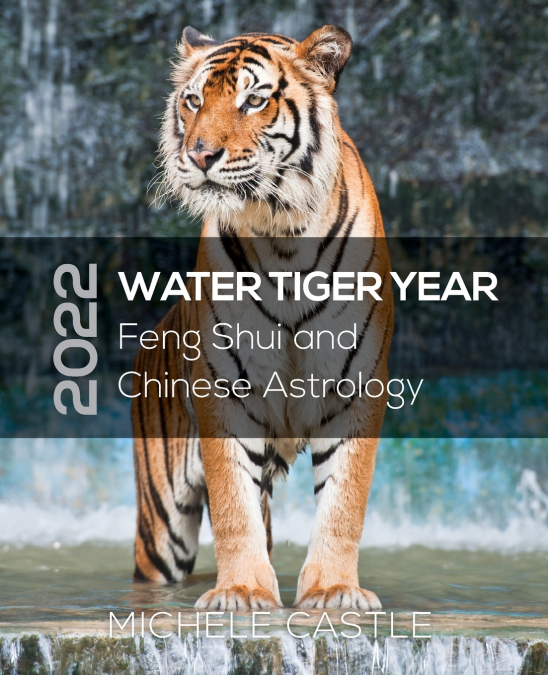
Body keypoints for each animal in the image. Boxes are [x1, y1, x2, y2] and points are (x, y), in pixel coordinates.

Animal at [132, 24, 394, 612]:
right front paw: (242, 591)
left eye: (253, 101)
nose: (200, 155)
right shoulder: (223, 391)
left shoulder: (358, 387)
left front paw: (334, 590)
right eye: (194, 101)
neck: (282, 233)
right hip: (162, 523)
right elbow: (234, 505)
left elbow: (344, 503)